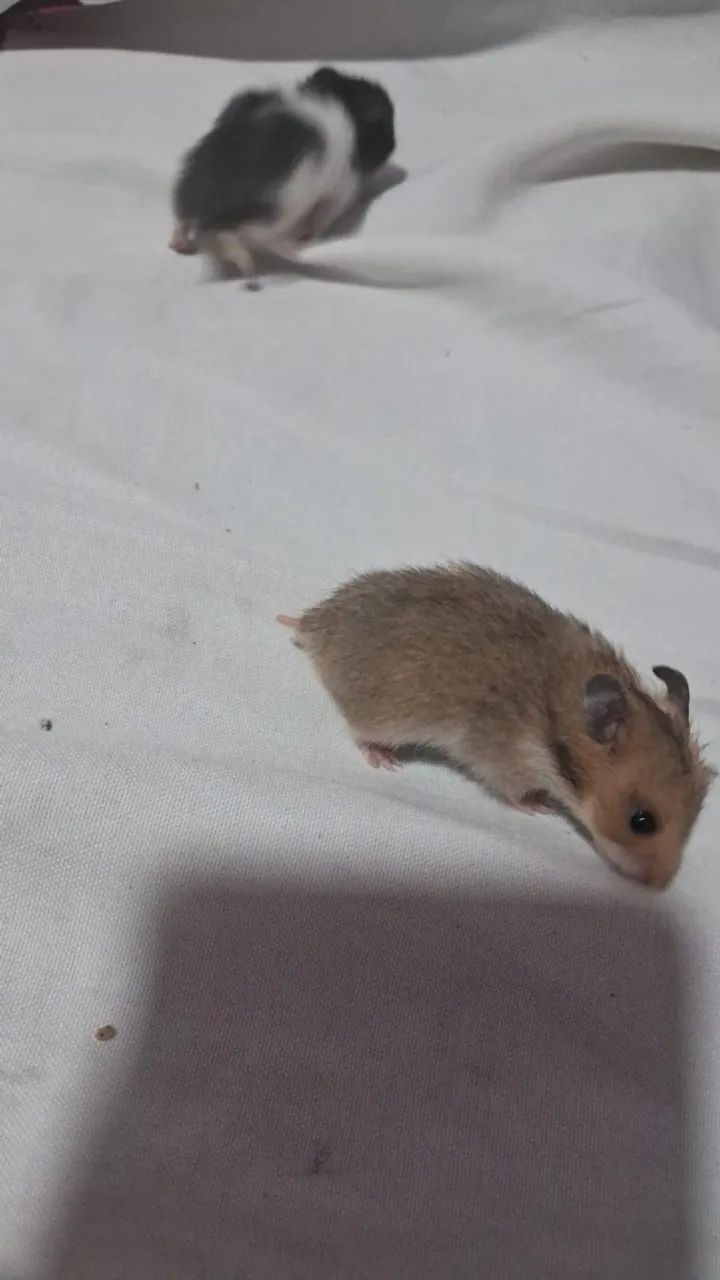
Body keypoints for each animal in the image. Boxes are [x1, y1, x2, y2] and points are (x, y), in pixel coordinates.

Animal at [170, 66, 395, 274]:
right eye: (387, 123)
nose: (394, 146)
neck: (343, 100)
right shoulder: (340, 190)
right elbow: (321, 218)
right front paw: (306, 237)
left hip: (187, 181)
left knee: (183, 218)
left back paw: (182, 246)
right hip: (275, 214)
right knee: (226, 233)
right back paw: (246, 263)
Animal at [278, 563, 714, 888]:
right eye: (641, 822)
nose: (659, 886)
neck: (555, 719)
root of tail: (316, 625)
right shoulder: (506, 764)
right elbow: (517, 794)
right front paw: (539, 808)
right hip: (384, 719)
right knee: (362, 736)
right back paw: (386, 760)